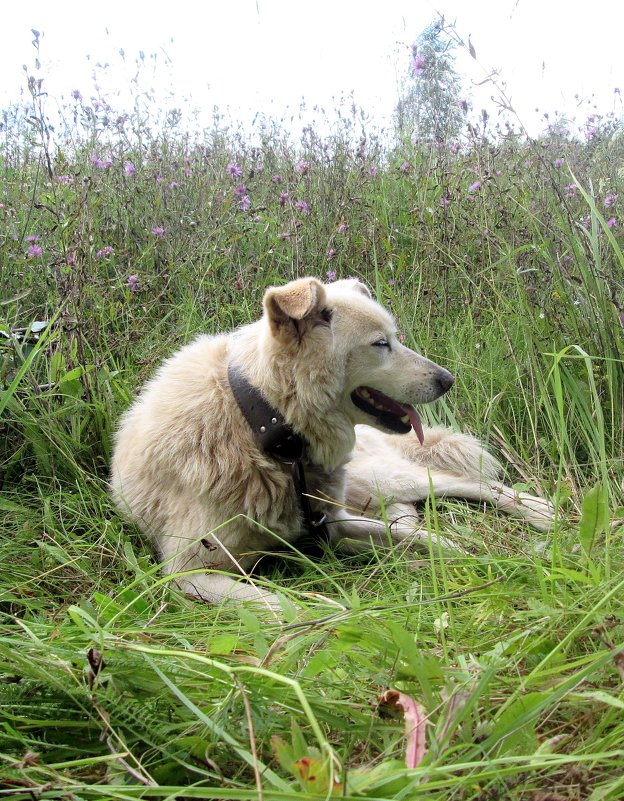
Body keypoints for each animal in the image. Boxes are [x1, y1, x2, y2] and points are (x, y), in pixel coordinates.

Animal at [109, 276, 552, 608]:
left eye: (394, 338)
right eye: (381, 344)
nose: (448, 380)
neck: (267, 428)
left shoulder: (332, 522)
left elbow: (433, 540)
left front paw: (484, 559)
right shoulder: (191, 572)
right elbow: (281, 605)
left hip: (373, 480)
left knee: (468, 484)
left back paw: (541, 512)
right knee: (416, 507)